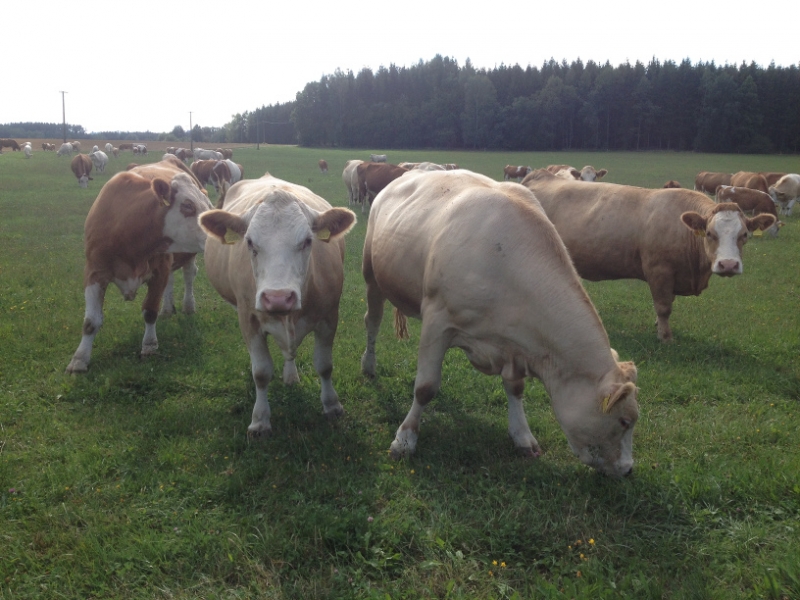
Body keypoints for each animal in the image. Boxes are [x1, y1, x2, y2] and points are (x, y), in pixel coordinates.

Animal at [66, 157, 212, 373]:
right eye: (188, 205)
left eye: (208, 205)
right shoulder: (94, 272)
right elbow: (91, 321)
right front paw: (79, 359)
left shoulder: (159, 270)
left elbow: (150, 311)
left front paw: (149, 346)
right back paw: (167, 309)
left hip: (188, 254)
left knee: (188, 275)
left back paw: (188, 305)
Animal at [199, 174, 357, 439]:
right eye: (250, 242)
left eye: (307, 241)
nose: (278, 298)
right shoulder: (248, 320)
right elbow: (261, 372)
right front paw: (260, 420)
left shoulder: (329, 317)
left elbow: (324, 366)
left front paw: (331, 405)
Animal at [361, 169, 640, 477]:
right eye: (624, 421)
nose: (628, 469)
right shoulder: (438, 320)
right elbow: (425, 387)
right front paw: (405, 439)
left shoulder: (514, 344)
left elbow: (515, 388)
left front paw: (523, 436)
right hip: (371, 274)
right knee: (372, 322)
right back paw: (369, 365)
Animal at [521, 169, 775, 342]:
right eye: (710, 234)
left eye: (744, 235)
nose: (728, 265)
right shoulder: (659, 270)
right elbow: (663, 306)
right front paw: (665, 336)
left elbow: (667, 303)